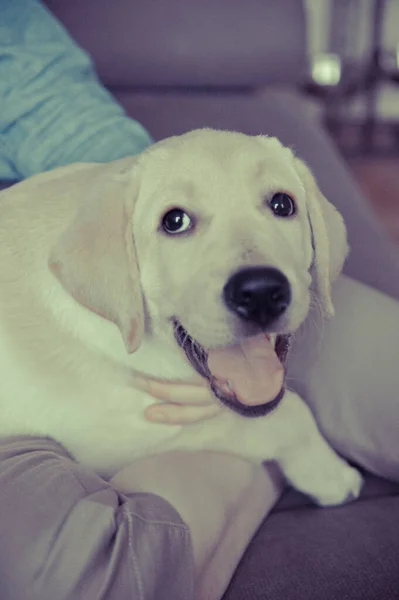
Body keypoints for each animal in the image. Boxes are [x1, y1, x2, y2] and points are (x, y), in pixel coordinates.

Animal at [0, 129, 362, 504]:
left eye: (282, 204)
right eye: (175, 221)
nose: (260, 293)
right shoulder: (116, 439)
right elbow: (287, 413)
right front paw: (330, 473)